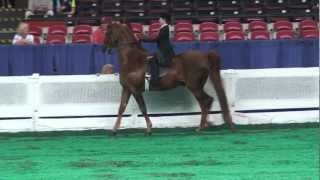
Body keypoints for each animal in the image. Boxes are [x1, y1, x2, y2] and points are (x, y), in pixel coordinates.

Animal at [105, 23, 235, 134]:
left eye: (108, 33)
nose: (104, 48)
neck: (131, 59)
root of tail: (205, 56)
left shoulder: (135, 90)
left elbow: (143, 108)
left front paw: (149, 129)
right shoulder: (127, 89)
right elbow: (121, 108)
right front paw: (114, 130)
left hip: (194, 87)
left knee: (205, 101)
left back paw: (201, 127)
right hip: (197, 86)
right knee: (208, 101)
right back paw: (207, 124)